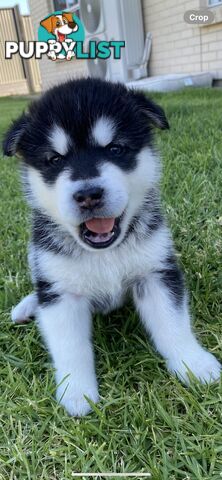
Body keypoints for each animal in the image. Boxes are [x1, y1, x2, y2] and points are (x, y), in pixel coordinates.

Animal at [3, 79, 220, 416]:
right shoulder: (61, 293)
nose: (88, 195)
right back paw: (27, 306)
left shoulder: (155, 273)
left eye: (115, 149)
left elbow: (173, 323)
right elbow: (70, 347)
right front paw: (76, 392)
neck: (103, 253)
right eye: (55, 160)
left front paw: (193, 363)